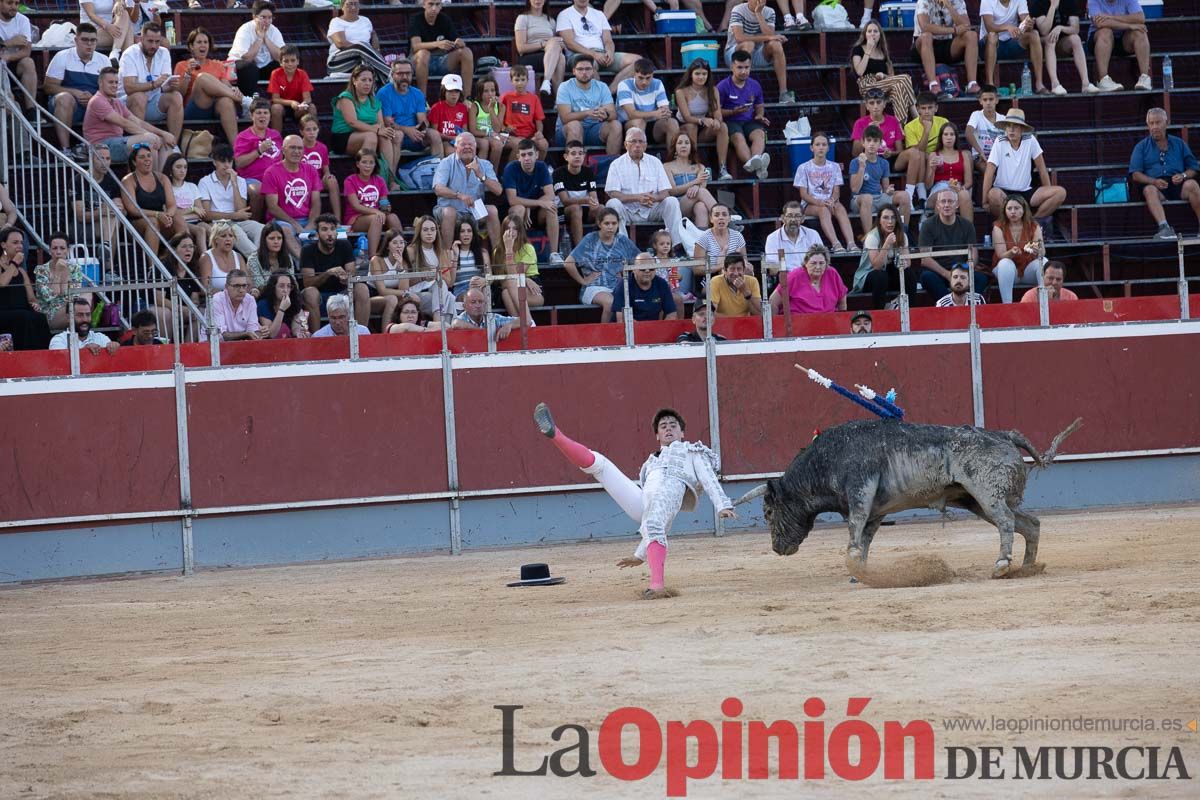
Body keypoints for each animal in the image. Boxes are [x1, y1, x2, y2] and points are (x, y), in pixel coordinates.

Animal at [734, 419, 1084, 575]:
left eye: (768, 513)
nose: (777, 548)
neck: (824, 461)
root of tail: (1004, 434)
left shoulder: (860, 490)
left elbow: (854, 530)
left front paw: (853, 565)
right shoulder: (875, 511)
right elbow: (865, 539)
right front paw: (860, 570)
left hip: (988, 495)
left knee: (1008, 523)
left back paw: (1002, 564)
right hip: (977, 501)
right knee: (1030, 524)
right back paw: (1026, 567)